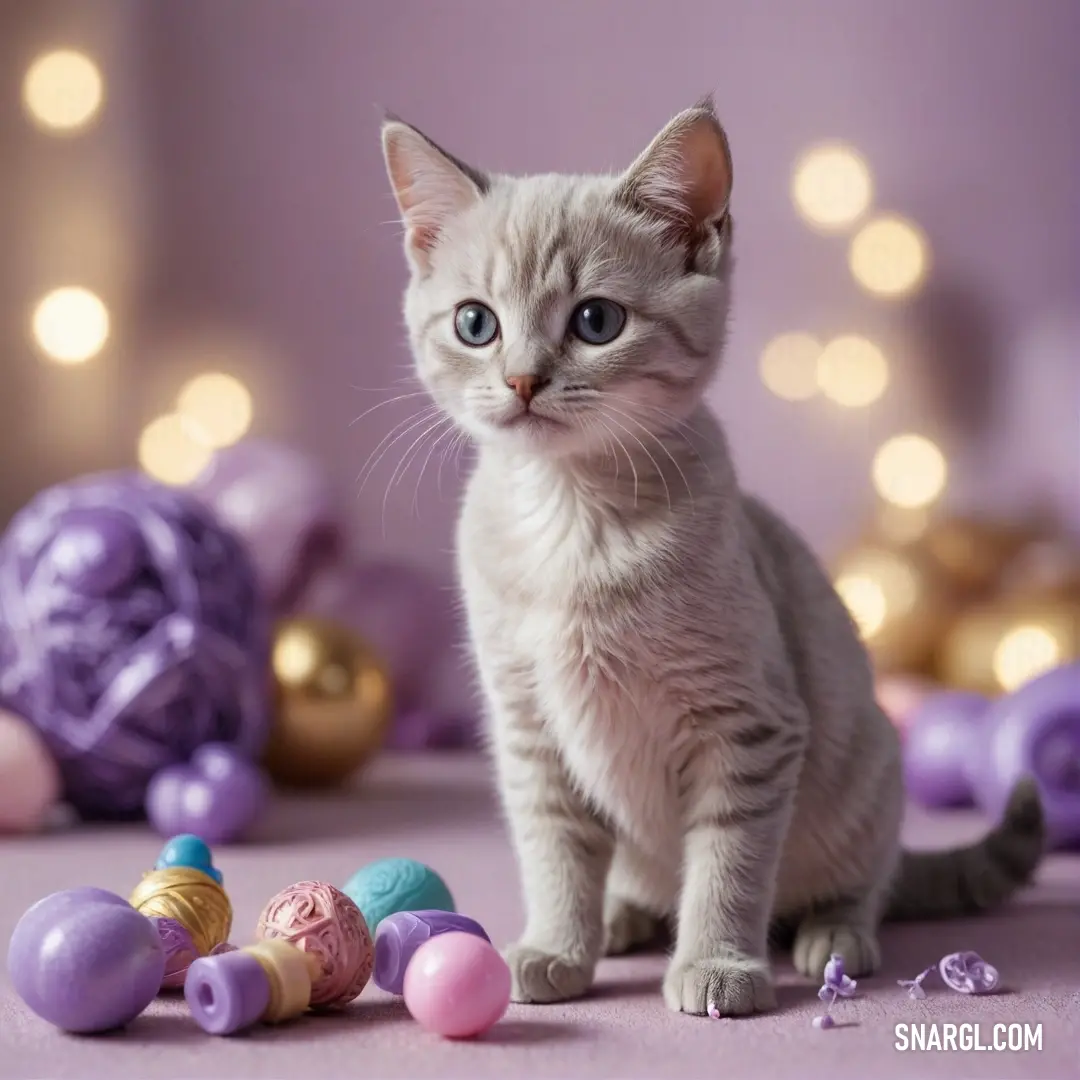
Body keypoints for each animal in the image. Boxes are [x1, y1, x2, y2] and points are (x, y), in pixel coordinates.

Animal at [382, 97, 1045, 1015]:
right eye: (475, 324)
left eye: (596, 321)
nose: (520, 380)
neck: (573, 522)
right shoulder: (530, 734)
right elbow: (555, 852)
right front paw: (557, 945)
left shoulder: (752, 728)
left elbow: (728, 863)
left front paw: (718, 962)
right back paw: (622, 914)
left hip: (867, 773)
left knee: (866, 882)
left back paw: (833, 933)